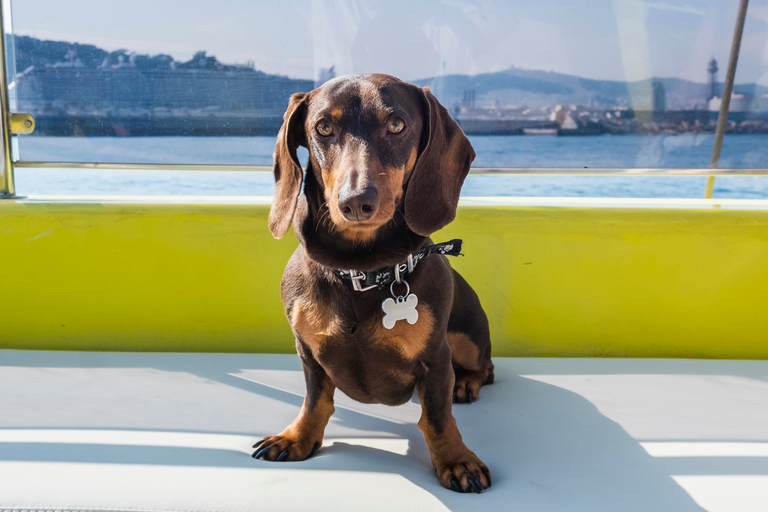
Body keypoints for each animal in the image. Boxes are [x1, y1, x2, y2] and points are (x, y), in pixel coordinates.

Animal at [252, 73, 492, 492]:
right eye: (323, 128)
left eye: (396, 124)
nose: (356, 202)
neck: (360, 272)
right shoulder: (307, 352)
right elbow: (316, 400)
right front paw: (297, 437)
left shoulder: (436, 360)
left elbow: (437, 417)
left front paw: (456, 459)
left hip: (468, 341)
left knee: (486, 369)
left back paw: (465, 383)